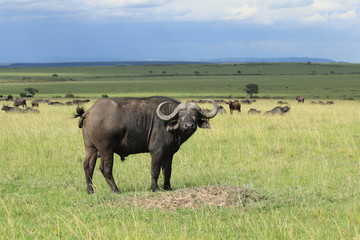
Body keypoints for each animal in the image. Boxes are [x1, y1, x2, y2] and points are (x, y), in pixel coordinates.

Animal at [74, 95, 218, 193]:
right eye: (181, 115)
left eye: (195, 115)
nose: (189, 125)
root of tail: (90, 111)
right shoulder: (157, 151)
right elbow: (155, 170)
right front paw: (154, 188)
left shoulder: (169, 153)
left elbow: (168, 171)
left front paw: (167, 187)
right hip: (106, 149)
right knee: (105, 168)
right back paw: (116, 190)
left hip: (91, 148)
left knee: (88, 166)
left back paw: (90, 190)